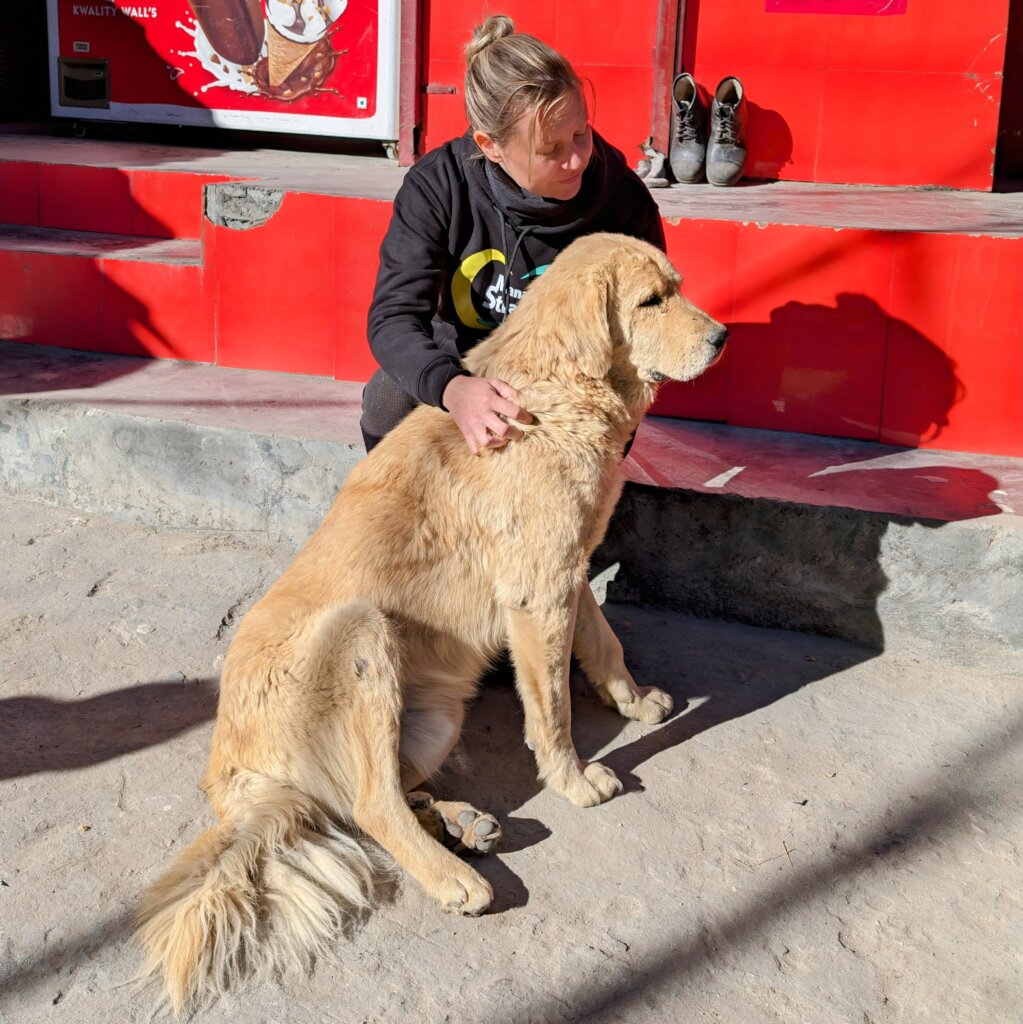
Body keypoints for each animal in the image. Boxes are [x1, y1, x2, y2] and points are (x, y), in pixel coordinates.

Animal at [136, 230, 729, 1007]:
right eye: (650, 301)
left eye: (677, 287)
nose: (722, 338)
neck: (558, 392)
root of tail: (230, 779)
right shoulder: (538, 592)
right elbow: (553, 711)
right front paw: (574, 783)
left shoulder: (566, 569)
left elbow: (605, 643)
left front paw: (632, 702)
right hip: (362, 631)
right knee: (370, 803)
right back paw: (454, 876)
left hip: (433, 715)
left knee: (364, 797)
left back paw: (458, 822)